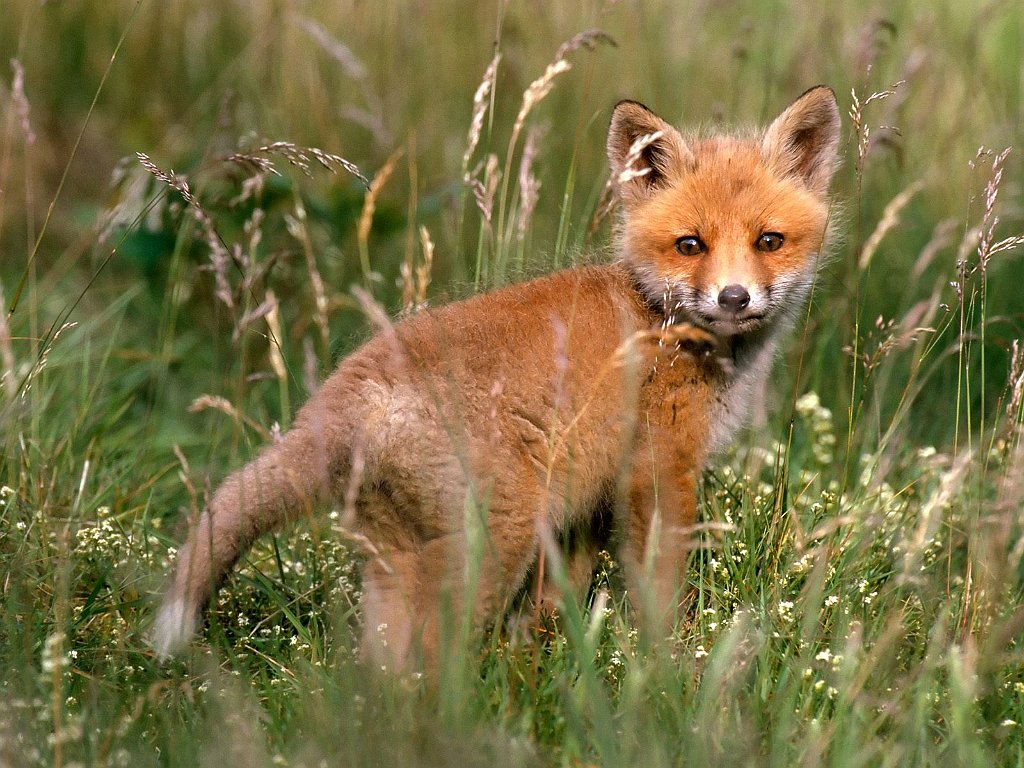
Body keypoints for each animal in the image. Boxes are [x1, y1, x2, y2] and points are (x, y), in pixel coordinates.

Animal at [151, 87, 839, 671]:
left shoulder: (583, 507)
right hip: (493, 544)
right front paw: (670, 670)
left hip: (399, 560)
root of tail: (344, 395)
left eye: (769, 240)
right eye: (690, 245)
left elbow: (551, 613)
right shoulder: (658, 472)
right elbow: (659, 596)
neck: (659, 318)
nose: (734, 297)